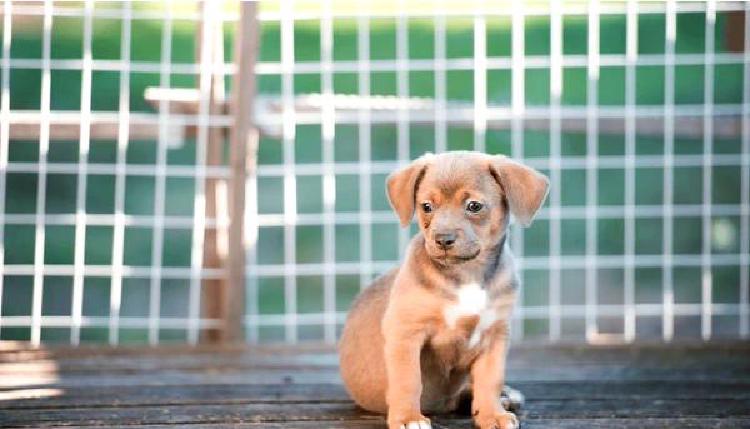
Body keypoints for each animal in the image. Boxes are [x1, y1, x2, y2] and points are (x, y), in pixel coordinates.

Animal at [340, 151, 548, 428]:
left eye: (474, 206)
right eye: (426, 206)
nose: (443, 240)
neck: (467, 275)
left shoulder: (495, 335)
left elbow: (490, 380)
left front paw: (492, 414)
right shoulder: (405, 333)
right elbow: (408, 381)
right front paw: (408, 417)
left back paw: (504, 397)